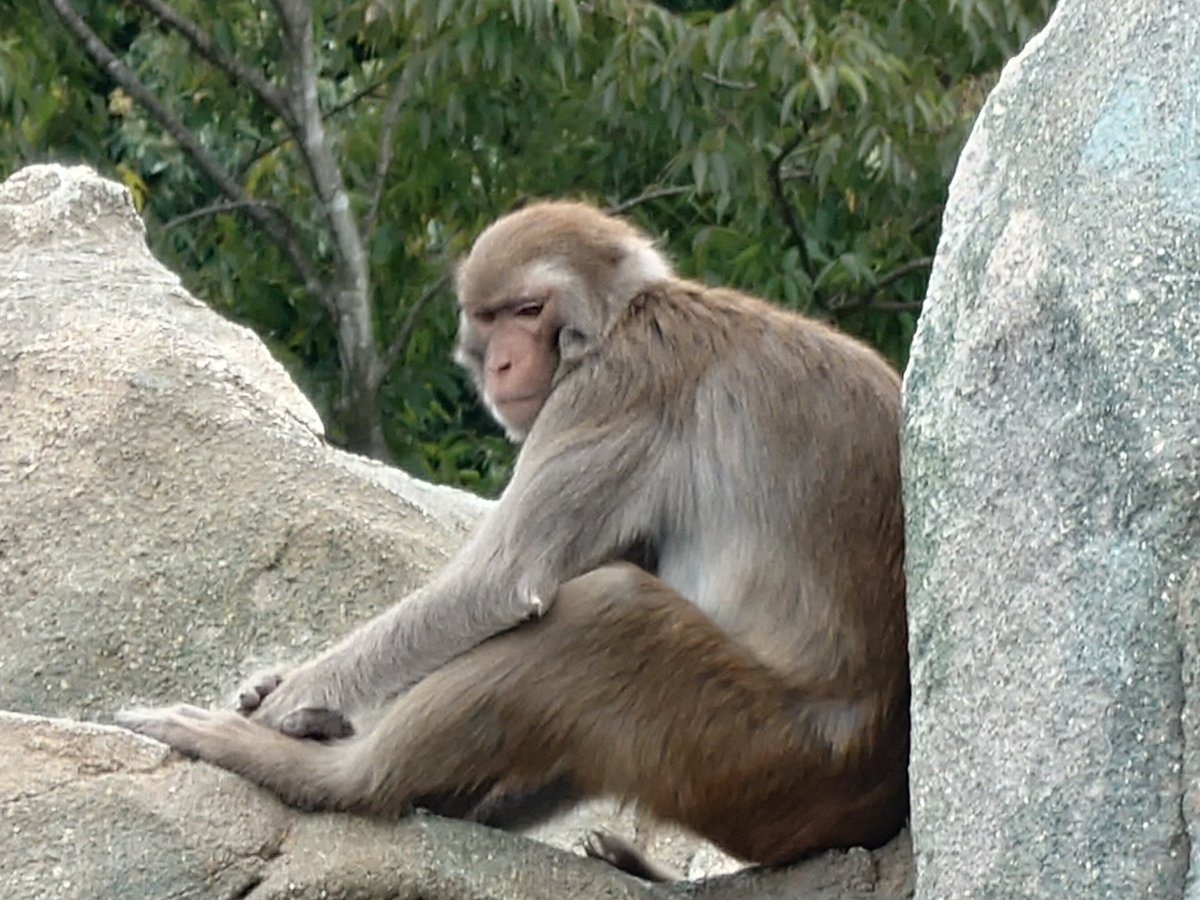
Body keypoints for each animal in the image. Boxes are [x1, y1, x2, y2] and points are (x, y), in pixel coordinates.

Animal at [117, 200, 909, 875]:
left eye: (530, 311)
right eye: (491, 318)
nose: (500, 363)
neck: (624, 319)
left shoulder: (613, 389)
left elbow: (500, 582)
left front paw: (288, 702)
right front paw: (279, 691)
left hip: (759, 755)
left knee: (608, 612)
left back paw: (331, 778)